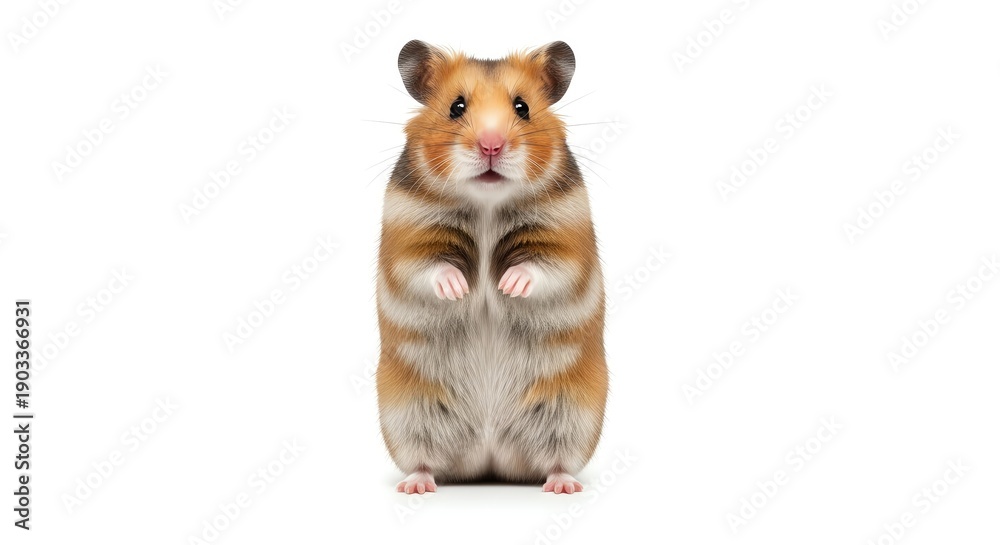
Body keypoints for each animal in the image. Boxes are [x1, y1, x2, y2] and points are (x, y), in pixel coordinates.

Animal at [376, 40, 607, 495]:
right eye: (456, 107)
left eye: (522, 107)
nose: (491, 146)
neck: (487, 202)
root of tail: (489, 462)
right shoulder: (406, 240)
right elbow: (428, 267)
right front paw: (460, 289)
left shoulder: (566, 241)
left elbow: (543, 266)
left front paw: (507, 285)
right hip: (408, 413)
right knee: (424, 459)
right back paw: (417, 485)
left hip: (572, 413)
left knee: (557, 460)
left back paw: (561, 486)